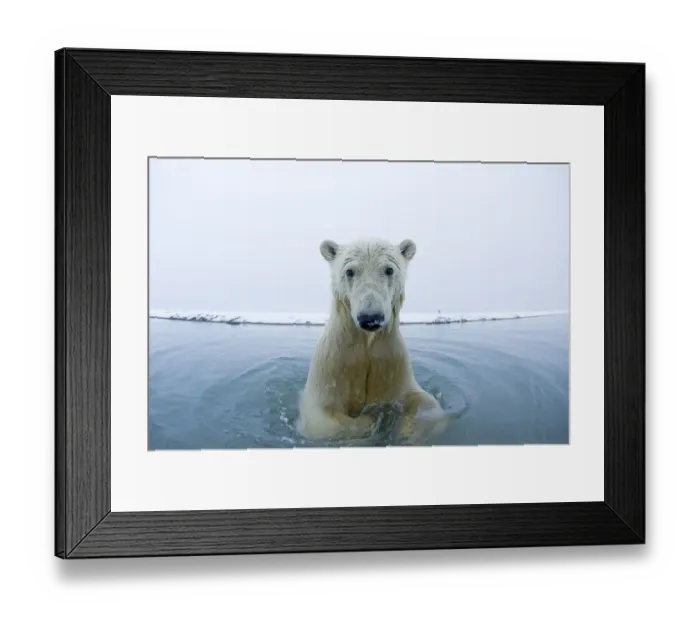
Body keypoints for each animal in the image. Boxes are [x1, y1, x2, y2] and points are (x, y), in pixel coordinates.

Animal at [297, 236, 446, 444]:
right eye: (350, 271)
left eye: (389, 270)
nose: (370, 317)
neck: (366, 340)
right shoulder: (333, 364)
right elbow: (321, 420)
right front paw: (371, 419)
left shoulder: (391, 361)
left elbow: (426, 404)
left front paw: (404, 431)